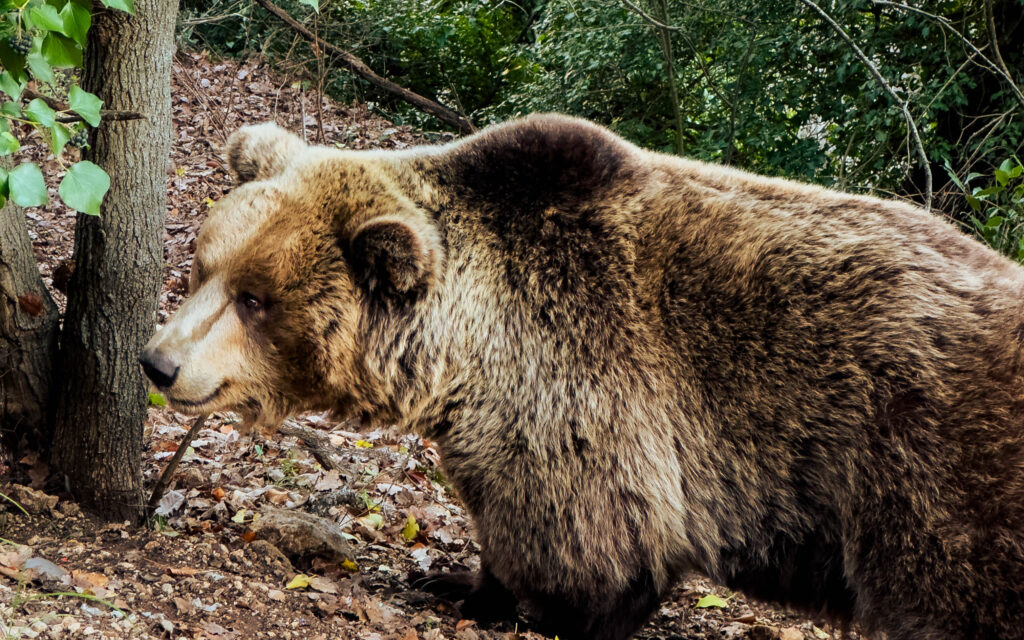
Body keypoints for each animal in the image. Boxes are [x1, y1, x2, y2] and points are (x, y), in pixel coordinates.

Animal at [142, 114, 1024, 638]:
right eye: (206, 267)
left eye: (256, 299)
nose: (159, 361)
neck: (463, 354)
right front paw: (460, 580)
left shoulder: (583, 385)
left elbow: (589, 545)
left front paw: (510, 602)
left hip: (938, 485)